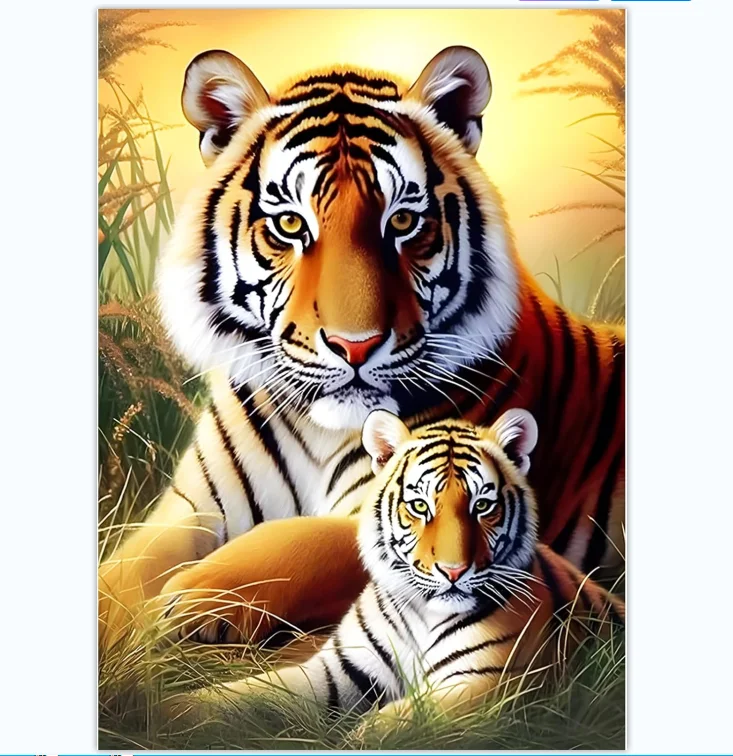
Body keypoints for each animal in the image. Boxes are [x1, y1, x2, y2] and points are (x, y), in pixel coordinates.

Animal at [98, 45, 625, 648]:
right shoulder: (191, 509)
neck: (314, 428)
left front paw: (183, 604)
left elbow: (288, 546)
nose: (356, 347)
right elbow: (124, 568)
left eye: (403, 221)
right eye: (289, 224)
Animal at [170, 409, 624, 725]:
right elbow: (249, 695)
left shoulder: (485, 684)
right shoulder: (337, 671)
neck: (423, 614)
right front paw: (172, 711)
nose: (453, 571)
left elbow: (395, 728)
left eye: (482, 506)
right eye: (419, 506)